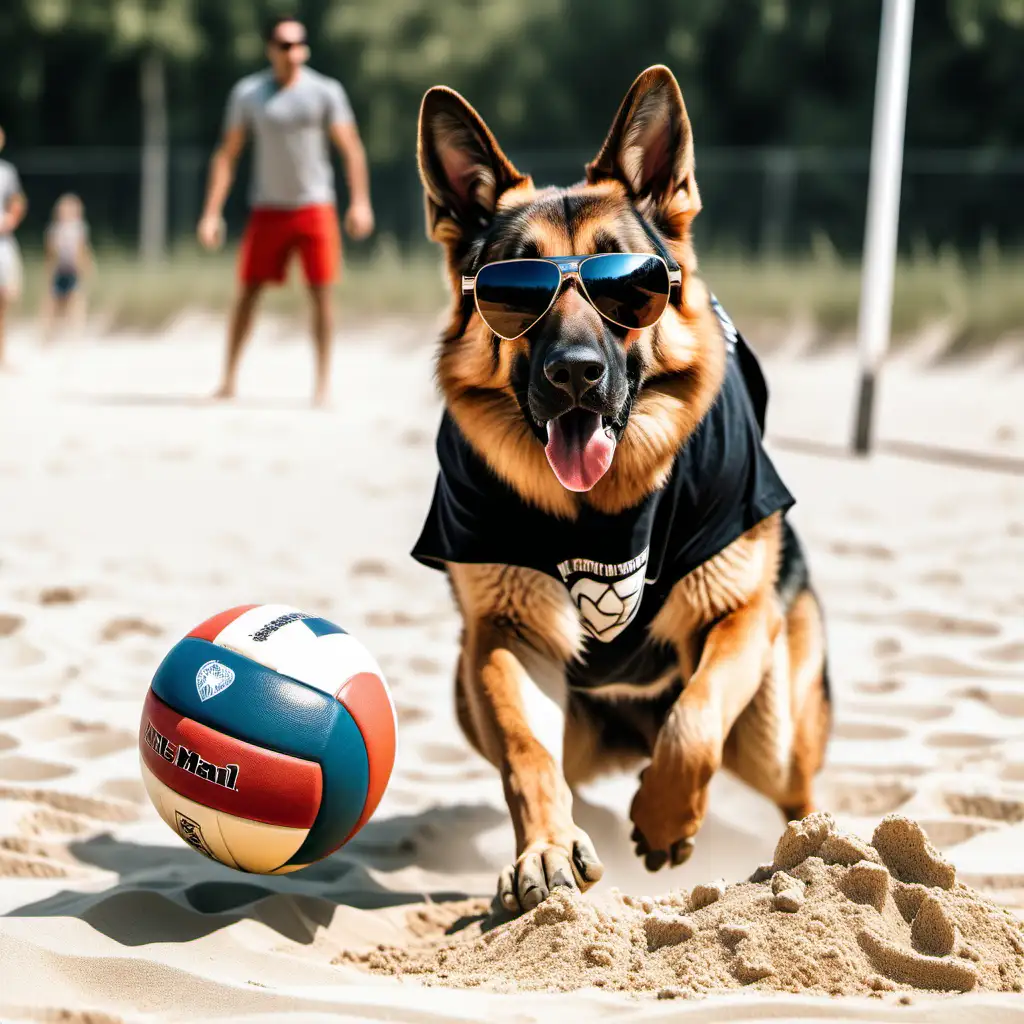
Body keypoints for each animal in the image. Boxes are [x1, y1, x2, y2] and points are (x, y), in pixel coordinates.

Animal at [409, 66, 831, 913]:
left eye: (624, 286)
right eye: (515, 290)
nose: (574, 373)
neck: (598, 506)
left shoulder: (735, 612)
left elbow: (694, 718)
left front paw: (666, 816)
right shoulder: (506, 638)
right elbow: (526, 758)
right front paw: (545, 849)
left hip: (770, 729)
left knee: (790, 780)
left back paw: (814, 849)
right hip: (471, 689)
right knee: (562, 770)